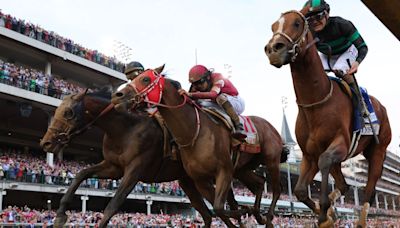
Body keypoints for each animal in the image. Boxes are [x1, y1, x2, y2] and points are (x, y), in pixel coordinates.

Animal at [39, 88, 238, 228]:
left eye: (69, 112)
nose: (46, 143)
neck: (125, 129)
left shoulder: (135, 169)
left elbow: (113, 205)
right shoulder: (113, 167)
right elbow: (81, 174)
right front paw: (60, 215)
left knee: (219, 209)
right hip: (189, 181)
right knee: (209, 214)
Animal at [111, 67, 290, 227]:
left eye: (145, 79)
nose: (117, 96)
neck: (193, 131)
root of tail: (271, 128)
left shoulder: (224, 170)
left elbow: (219, 207)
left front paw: (244, 211)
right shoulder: (199, 179)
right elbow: (217, 209)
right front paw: (244, 211)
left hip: (271, 160)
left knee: (277, 188)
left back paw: (268, 217)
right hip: (242, 168)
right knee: (260, 183)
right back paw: (258, 214)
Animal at [264, 8, 392, 228]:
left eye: (297, 23)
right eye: (273, 26)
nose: (273, 49)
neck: (316, 102)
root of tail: (380, 106)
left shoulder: (339, 145)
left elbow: (324, 163)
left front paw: (325, 213)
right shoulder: (310, 154)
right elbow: (299, 190)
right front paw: (327, 213)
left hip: (378, 150)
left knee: (368, 189)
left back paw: (360, 220)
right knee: (344, 185)